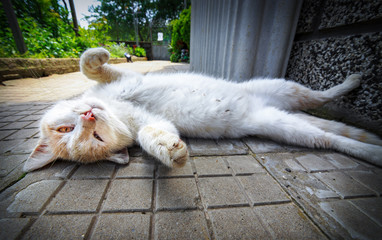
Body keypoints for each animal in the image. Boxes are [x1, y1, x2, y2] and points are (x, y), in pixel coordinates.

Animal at [23, 47, 382, 172]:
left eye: (64, 129)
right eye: (95, 138)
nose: (88, 116)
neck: (117, 107)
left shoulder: (123, 79)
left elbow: (88, 64)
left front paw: (100, 53)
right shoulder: (152, 123)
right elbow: (152, 135)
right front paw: (171, 152)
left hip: (284, 88)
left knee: (320, 97)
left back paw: (351, 82)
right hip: (289, 128)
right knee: (332, 138)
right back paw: (374, 151)